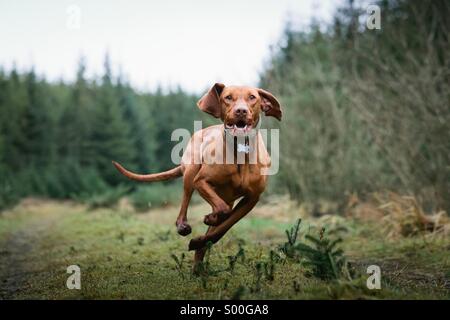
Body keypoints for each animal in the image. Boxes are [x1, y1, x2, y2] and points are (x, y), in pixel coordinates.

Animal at [112, 84, 282, 272]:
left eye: (252, 97)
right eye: (228, 97)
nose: (241, 111)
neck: (240, 151)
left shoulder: (252, 199)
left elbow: (223, 227)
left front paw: (201, 238)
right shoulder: (201, 181)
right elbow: (222, 211)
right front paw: (209, 220)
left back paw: (199, 264)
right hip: (191, 170)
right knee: (185, 205)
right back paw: (184, 227)